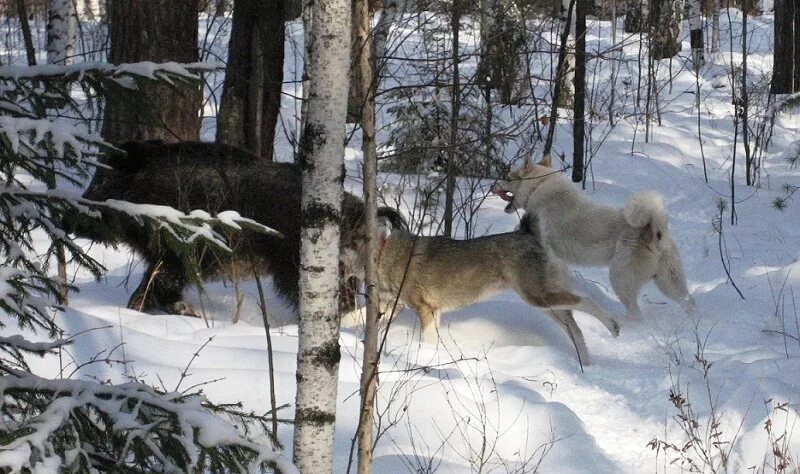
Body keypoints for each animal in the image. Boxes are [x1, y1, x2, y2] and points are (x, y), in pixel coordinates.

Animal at [490, 156, 692, 318]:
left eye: (507, 177)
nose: (491, 185)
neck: (538, 187)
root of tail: (655, 231)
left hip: (620, 279)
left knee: (636, 314)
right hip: (669, 284)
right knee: (688, 303)